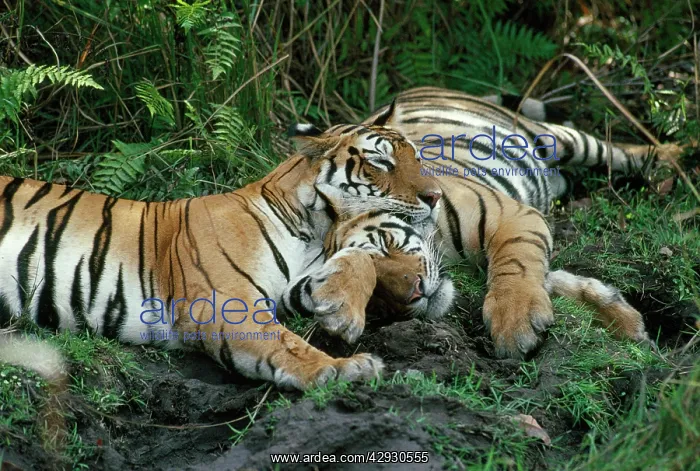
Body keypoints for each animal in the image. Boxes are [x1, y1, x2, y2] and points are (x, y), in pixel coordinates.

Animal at [0, 109, 448, 391]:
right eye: (381, 163)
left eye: (417, 157)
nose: (437, 196)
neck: (315, 230)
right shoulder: (227, 300)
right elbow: (286, 343)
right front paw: (344, 368)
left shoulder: (292, 284)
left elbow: (356, 262)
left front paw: (342, 311)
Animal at [291, 86, 678, 359]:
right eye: (376, 297)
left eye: (385, 245)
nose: (415, 294)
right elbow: (555, 279)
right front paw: (622, 319)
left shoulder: (514, 215)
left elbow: (516, 264)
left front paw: (516, 323)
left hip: (559, 138)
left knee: (619, 149)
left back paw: (672, 156)